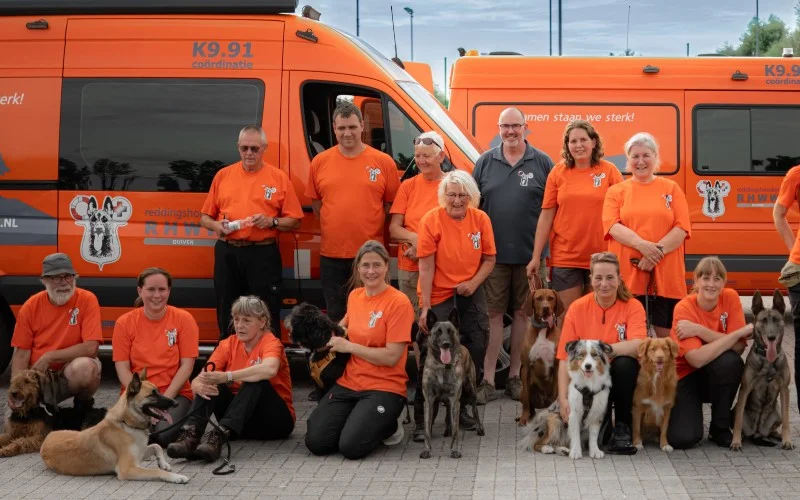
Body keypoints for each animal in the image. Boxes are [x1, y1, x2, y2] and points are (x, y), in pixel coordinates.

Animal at [422, 310, 484, 458]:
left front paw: (454, 450)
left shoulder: (455, 400)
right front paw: (426, 450)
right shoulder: (429, 400)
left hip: (471, 390)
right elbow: (427, 430)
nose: (446, 344)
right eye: (438, 332)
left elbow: (456, 430)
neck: (441, 366)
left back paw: (479, 428)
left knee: (475, 410)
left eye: (450, 331)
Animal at [520, 290, 564, 426]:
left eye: (550, 298)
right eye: (538, 298)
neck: (543, 330)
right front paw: (524, 418)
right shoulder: (526, 367)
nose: (546, 308)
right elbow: (526, 398)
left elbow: (556, 392)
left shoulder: (557, 366)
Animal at [732, 288, 792, 452]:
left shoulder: (784, 389)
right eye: (763, 320)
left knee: (774, 428)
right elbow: (738, 421)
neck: (767, 360)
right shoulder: (745, 389)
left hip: (777, 412)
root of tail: (757, 431)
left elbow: (787, 420)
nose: (771, 337)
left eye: (776, 320)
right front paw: (736, 442)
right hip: (734, 409)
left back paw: (777, 435)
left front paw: (787, 440)